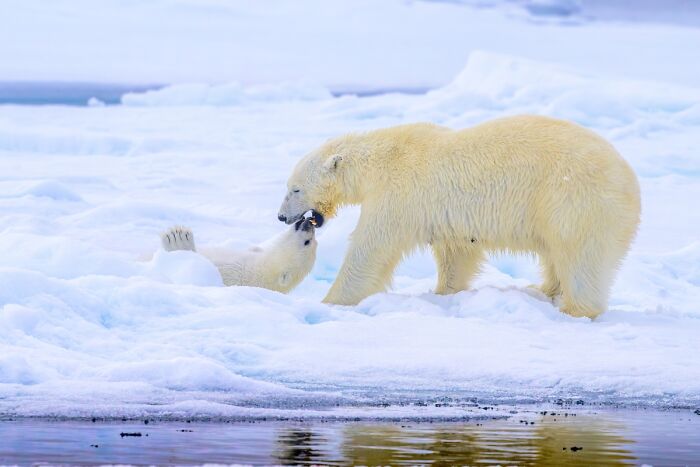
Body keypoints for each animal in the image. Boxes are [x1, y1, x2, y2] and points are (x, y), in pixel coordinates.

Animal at [277, 115, 641, 318]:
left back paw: (574, 309)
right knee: (556, 254)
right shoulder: (446, 215)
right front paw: (444, 293)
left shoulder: (400, 192)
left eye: (295, 188)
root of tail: (631, 183)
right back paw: (543, 288)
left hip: (575, 201)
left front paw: (331, 302)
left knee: (580, 256)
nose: (281, 217)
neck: (381, 158)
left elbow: (372, 247)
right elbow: (457, 253)